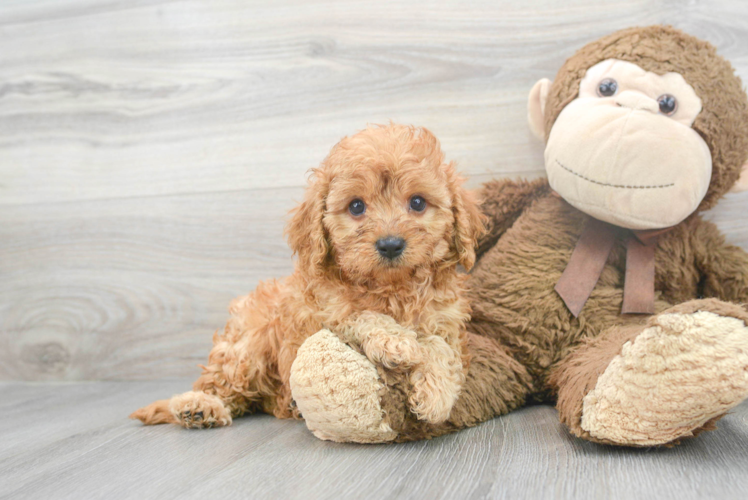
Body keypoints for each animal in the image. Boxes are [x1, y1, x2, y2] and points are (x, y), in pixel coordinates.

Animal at [131, 124, 486, 430]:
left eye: (417, 202)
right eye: (356, 206)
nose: (390, 244)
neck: (392, 287)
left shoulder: (445, 322)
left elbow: (441, 346)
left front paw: (437, 395)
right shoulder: (325, 315)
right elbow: (361, 314)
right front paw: (396, 342)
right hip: (249, 344)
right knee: (222, 384)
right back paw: (199, 406)